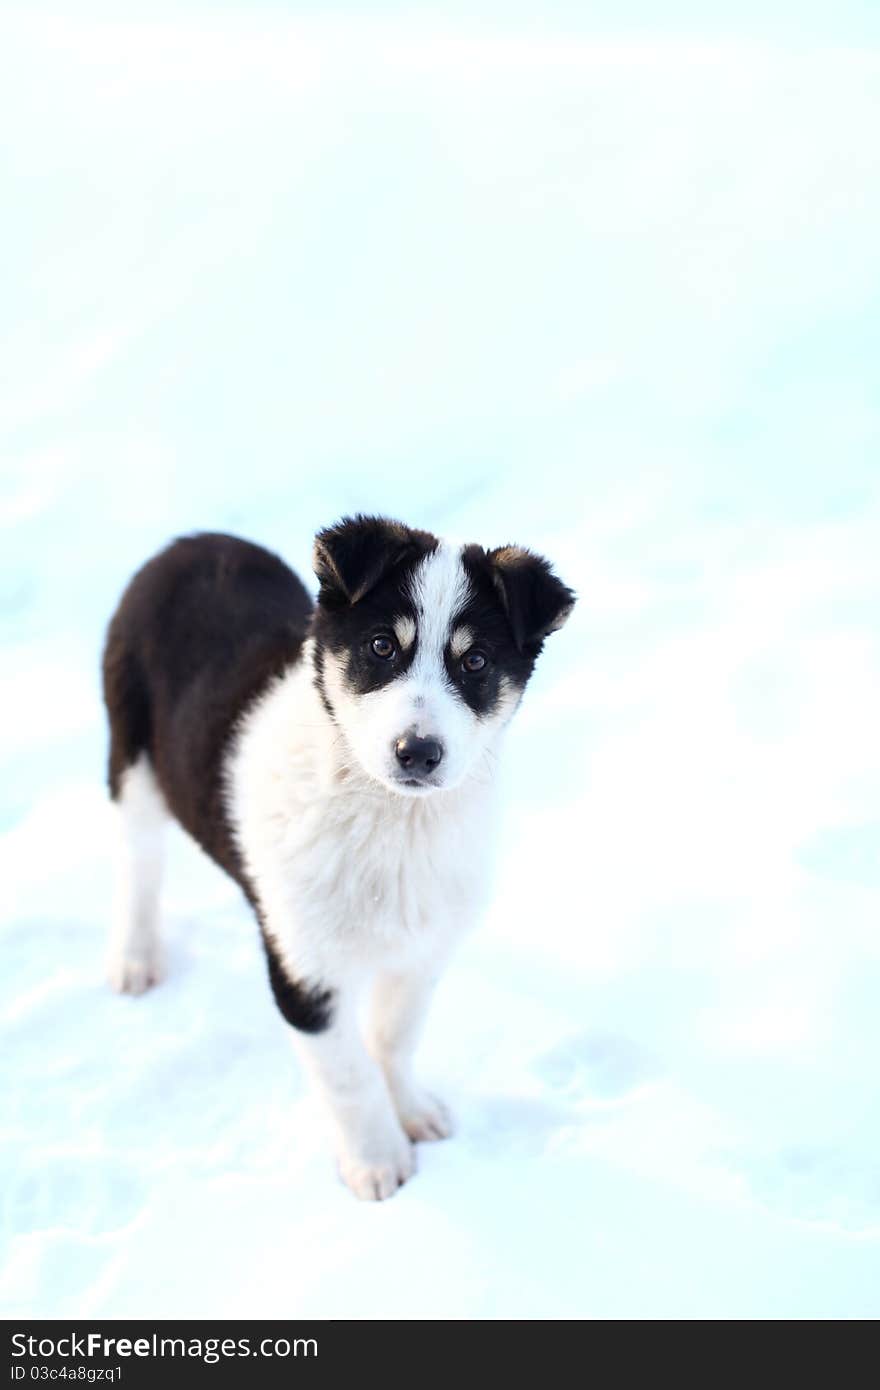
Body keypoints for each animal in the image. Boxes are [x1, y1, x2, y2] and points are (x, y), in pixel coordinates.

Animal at [102, 517, 572, 1200]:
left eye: (476, 661)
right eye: (381, 646)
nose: (417, 752)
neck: (390, 820)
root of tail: (192, 541)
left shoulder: (424, 948)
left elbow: (393, 1037)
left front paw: (412, 1111)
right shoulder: (305, 970)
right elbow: (347, 1074)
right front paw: (377, 1163)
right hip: (132, 757)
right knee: (138, 862)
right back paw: (135, 959)